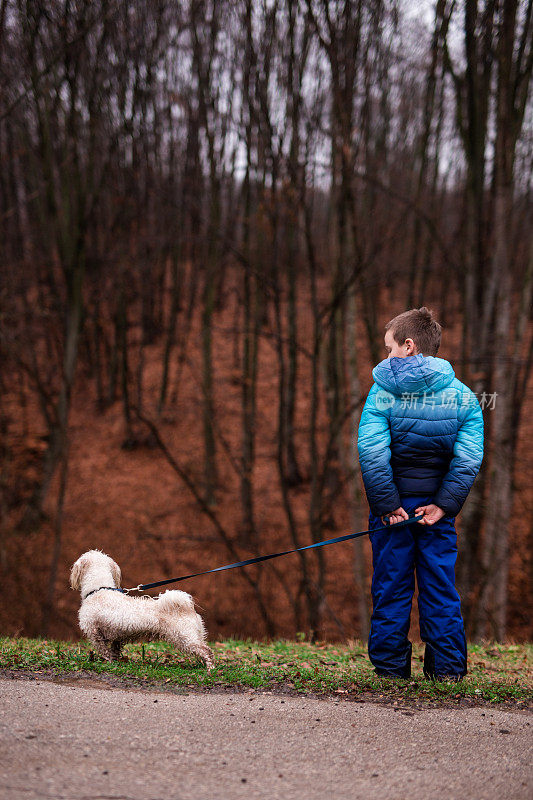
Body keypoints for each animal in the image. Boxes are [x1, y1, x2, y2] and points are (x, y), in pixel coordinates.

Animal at [69, 552, 213, 668]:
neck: (99, 589)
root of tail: (187, 607)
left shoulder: (94, 632)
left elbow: (104, 651)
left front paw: (107, 662)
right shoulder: (116, 637)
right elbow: (114, 651)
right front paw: (114, 662)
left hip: (185, 637)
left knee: (206, 651)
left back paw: (209, 669)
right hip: (195, 635)